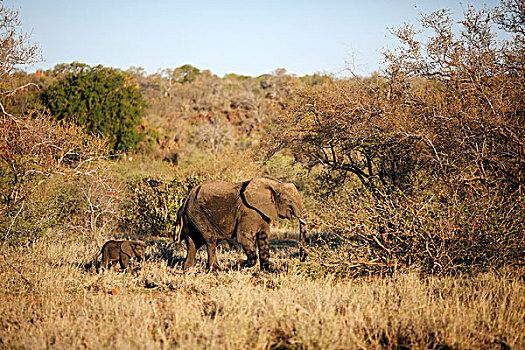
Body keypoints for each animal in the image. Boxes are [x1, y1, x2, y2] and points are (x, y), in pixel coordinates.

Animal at [172, 178, 308, 270]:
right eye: (290, 201)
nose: (301, 262)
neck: (273, 184)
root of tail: (186, 199)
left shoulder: (263, 212)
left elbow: (264, 237)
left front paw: (266, 271)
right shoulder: (248, 211)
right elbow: (243, 237)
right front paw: (239, 262)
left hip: (192, 216)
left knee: (193, 242)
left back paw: (187, 269)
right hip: (197, 213)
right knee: (211, 239)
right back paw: (215, 269)